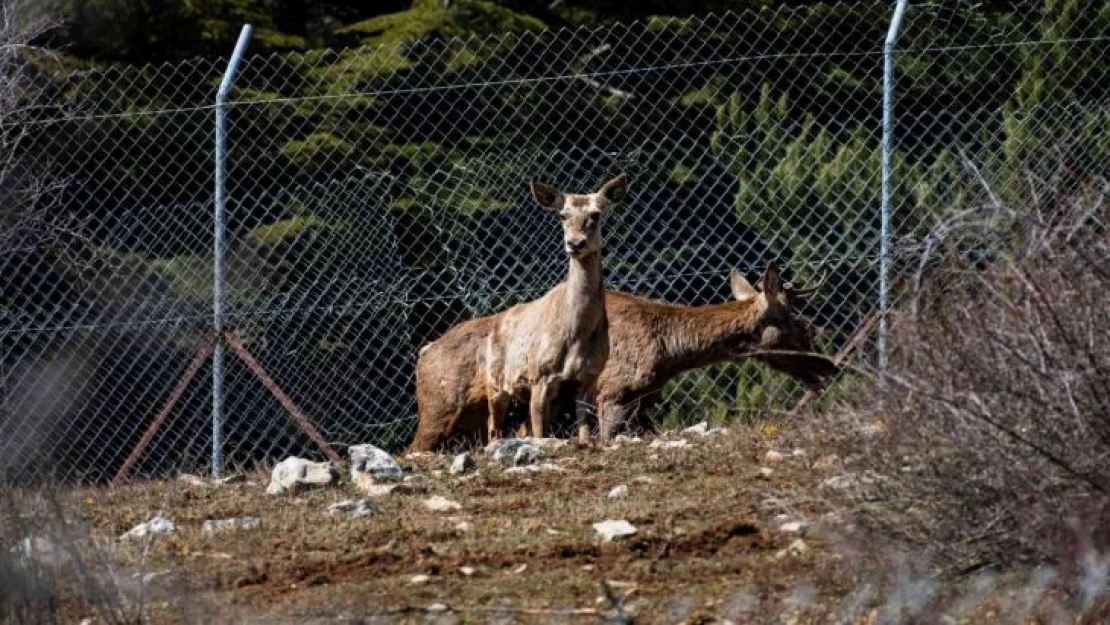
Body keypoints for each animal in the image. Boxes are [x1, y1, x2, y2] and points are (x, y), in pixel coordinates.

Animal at [410, 173, 634, 452]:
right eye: (562, 215)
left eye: (596, 214)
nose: (575, 243)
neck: (576, 334)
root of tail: (424, 351)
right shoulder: (539, 376)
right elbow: (540, 433)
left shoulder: (588, 378)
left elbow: (583, 432)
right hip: (448, 399)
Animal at [410, 256, 839, 452]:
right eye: (801, 326)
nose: (831, 368)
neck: (668, 351)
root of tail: (424, 352)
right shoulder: (613, 393)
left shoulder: (642, 402)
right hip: (439, 408)